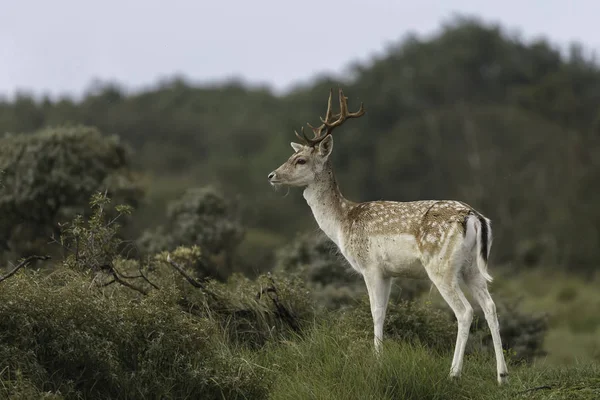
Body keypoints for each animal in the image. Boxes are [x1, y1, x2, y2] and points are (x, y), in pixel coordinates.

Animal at [270, 88, 508, 384]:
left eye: (300, 160)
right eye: (292, 155)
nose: (272, 175)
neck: (343, 222)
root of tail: (474, 218)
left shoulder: (371, 266)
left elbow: (377, 312)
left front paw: (377, 360)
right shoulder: (390, 272)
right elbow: (384, 311)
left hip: (440, 266)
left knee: (465, 311)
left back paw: (453, 373)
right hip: (471, 268)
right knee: (490, 306)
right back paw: (502, 375)